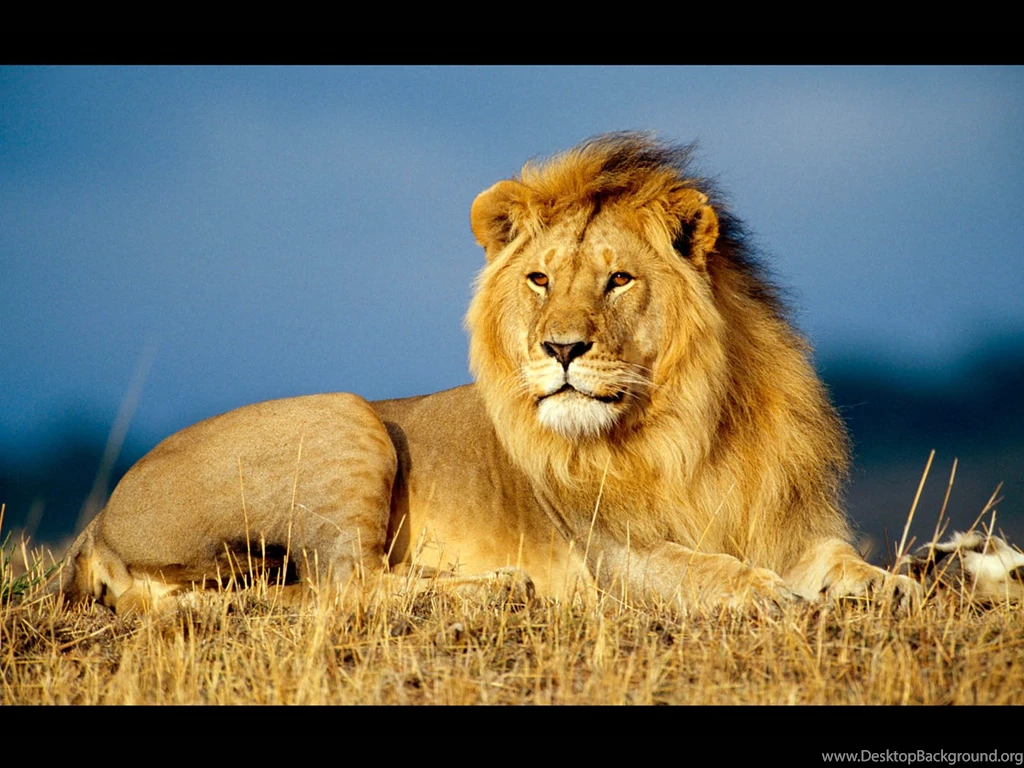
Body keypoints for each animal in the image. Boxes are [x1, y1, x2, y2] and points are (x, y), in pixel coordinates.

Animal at [51, 132, 918, 614]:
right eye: (539, 279)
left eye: (618, 280)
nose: (560, 349)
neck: (689, 424)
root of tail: (97, 522)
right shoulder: (612, 555)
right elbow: (701, 567)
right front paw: (763, 592)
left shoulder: (787, 522)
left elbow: (838, 560)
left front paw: (895, 585)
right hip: (345, 417)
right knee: (346, 586)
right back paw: (497, 588)